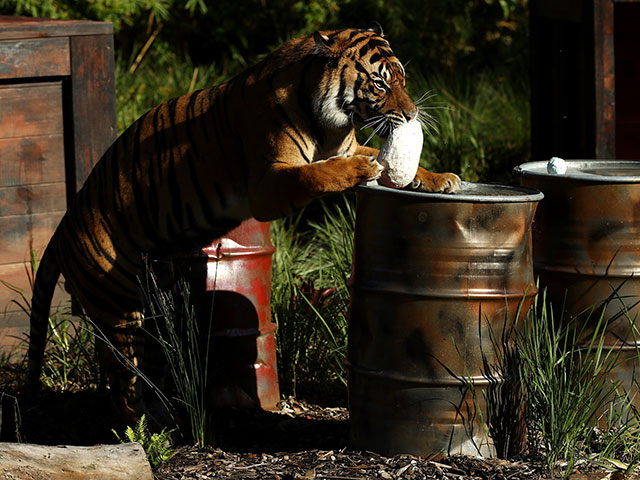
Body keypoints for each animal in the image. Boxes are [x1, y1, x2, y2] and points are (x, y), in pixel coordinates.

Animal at [27, 24, 462, 426]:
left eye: (402, 79)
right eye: (379, 83)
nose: (412, 114)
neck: (332, 125)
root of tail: (61, 231)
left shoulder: (348, 143)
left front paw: (440, 178)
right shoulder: (269, 183)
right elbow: (318, 173)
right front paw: (360, 168)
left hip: (153, 304)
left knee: (147, 373)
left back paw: (170, 419)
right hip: (119, 312)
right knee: (124, 387)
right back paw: (153, 433)